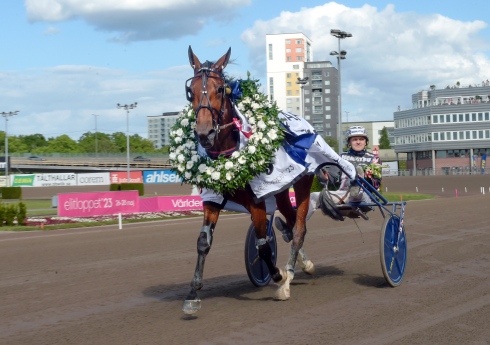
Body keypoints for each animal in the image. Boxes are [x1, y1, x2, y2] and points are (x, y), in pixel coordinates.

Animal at [183, 46, 314, 314]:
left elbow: (263, 246)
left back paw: (290, 275)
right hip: (281, 192)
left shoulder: (257, 201)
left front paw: (278, 276)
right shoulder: (212, 199)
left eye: (220, 89)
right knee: (291, 221)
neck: (228, 152)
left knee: (299, 227)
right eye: (191, 91)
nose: (203, 133)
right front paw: (193, 292)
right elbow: (203, 242)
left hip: (302, 182)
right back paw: (301, 263)